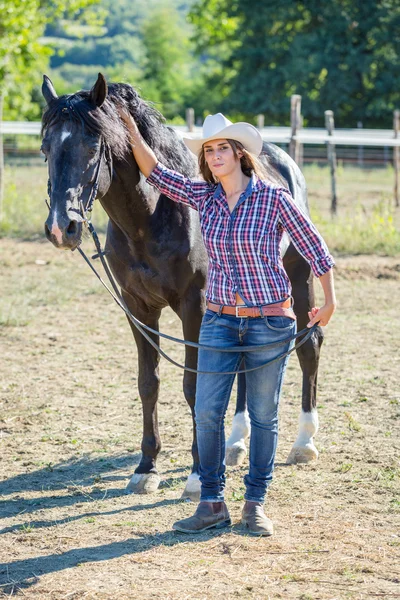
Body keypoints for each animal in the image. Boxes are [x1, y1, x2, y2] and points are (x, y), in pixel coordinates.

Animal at [41, 72, 322, 500]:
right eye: (45, 147)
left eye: (92, 147)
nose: (62, 228)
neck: (152, 217)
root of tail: (282, 159)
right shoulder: (138, 309)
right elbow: (149, 383)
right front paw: (146, 468)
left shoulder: (197, 307)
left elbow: (194, 386)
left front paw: (196, 474)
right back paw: (235, 443)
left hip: (299, 277)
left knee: (308, 346)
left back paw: (304, 443)